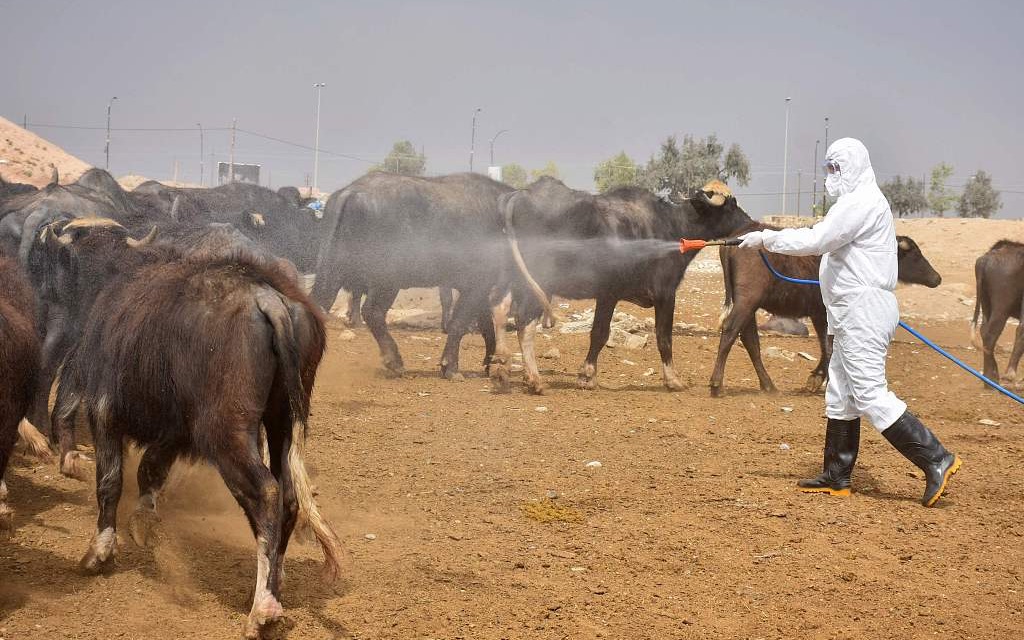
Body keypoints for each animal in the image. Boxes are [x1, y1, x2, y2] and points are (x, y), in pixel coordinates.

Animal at [37, 218, 342, 634]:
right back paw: (274, 586)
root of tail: (268, 298)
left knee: (266, 493)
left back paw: (262, 608)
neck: (110, 280)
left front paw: (99, 552)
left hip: (226, 434)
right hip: (283, 421)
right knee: (289, 495)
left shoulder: (104, 411)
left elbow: (110, 482)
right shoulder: (175, 430)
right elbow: (150, 470)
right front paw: (144, 522)